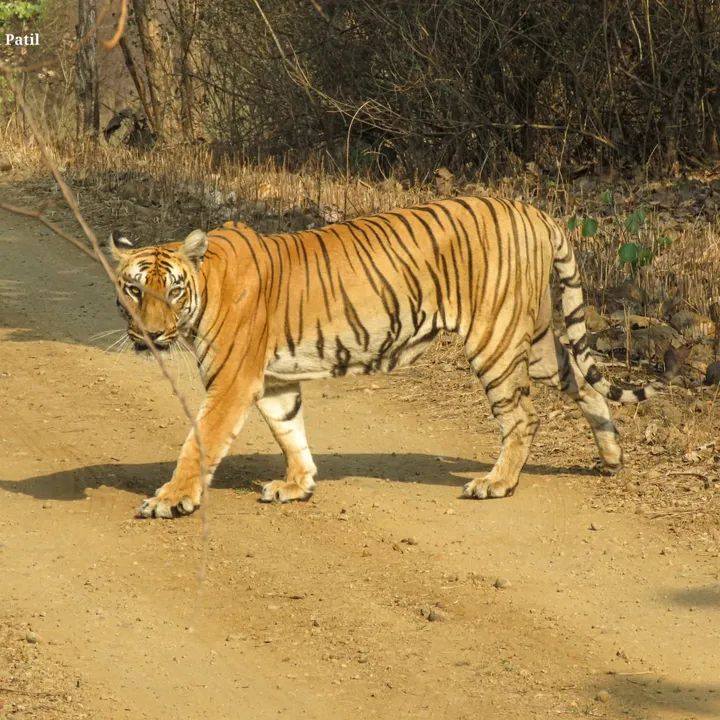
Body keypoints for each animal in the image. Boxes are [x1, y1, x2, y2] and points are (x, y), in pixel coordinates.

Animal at [104, 196, 658, 519]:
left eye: (172, 291)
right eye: (133, 289)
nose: (150, 334)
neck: (205, 289)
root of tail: (532, 211)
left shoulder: (231, 382)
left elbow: (199, 442)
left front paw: (171, 499)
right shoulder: (274, 382)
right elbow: (290, 431)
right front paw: (298, 485)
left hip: (495, 338)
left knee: (523, 416)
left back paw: (496, 483)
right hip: (537, 337)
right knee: (582, 379)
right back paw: (611, 457)